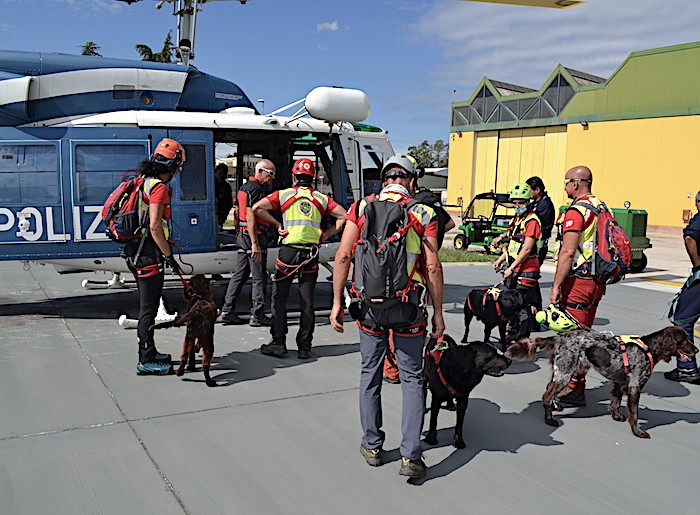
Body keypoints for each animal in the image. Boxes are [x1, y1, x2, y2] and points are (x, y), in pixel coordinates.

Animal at [506, 328, 696, 438]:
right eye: (684, 339)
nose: (697, 349)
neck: (648, 348)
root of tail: (558, 338)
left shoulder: (619, 383)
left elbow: (615, 402)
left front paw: (616, 416)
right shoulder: (634, 387)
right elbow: (634, 414)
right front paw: (638, 432)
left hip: (560, 372)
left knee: (549, 391)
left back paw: (555, 408)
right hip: (565, 374)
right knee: (546, 395)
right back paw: (549, 420)